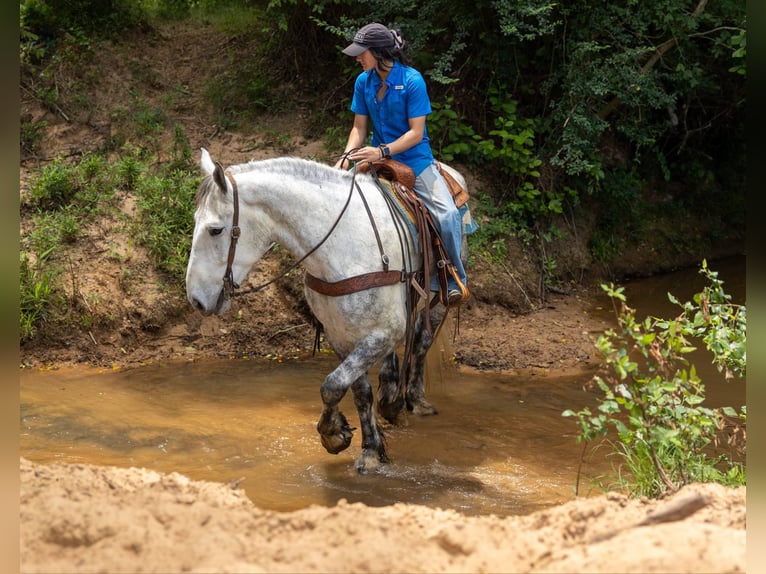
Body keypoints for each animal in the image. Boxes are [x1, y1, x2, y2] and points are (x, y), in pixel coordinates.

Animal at [186, 148, 467, 473]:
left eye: (215, 230)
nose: (195, 299)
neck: (340, 244)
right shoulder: (340, 335)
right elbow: (356, 390)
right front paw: (370, 449)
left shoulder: (384, 333)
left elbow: (332, 385)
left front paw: (334, 434)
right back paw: (390, 398)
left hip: (437, 299)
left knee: (421, 342)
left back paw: (417, 400)